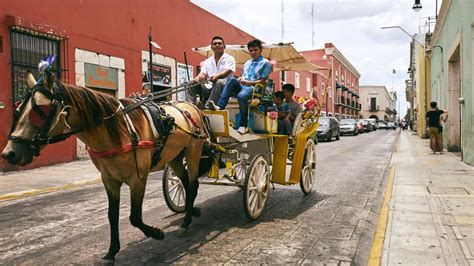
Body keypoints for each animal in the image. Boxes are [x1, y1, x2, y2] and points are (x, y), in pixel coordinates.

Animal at [0, 71, 211, 262]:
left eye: (39, 112)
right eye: (17, 110)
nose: (9, 153)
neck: (118, 132)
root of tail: (191, 106)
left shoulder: (138, 179)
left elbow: (135, 217)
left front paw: (156, 233)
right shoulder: (109, 180)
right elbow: (112, 215)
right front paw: (111, 252)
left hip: (193, 151)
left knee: (192, 185)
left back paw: (185, 224)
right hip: (175, 157)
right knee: (185, 182)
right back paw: (191, 211)